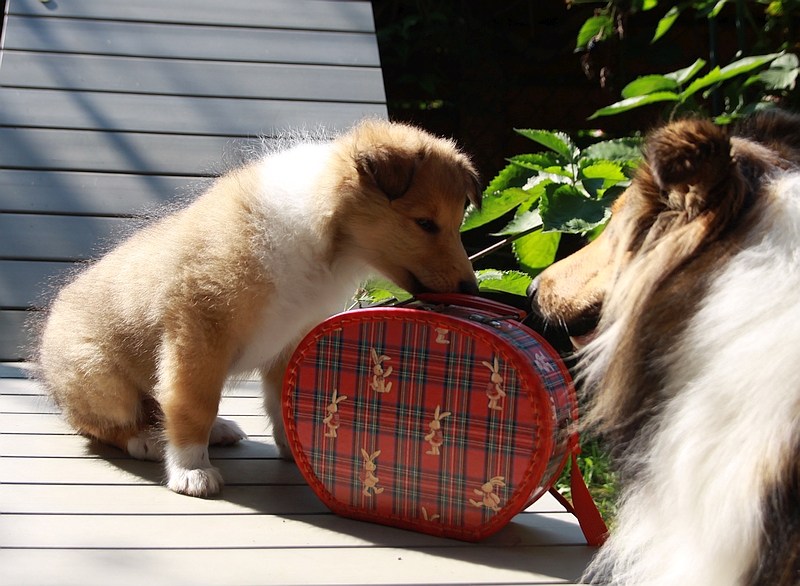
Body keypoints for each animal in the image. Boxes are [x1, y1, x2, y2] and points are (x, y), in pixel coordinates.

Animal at [37, 121, 482, 496]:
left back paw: (216, 429)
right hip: (99, 377)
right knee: (100, 422)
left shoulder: (292, 338)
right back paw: (145, 439)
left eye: (457, 219)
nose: (471, 288)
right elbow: (193, 403)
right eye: (424, 223)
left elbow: (284, 400)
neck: (323, 239)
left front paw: (301, 452)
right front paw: (191, 471)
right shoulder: (197, 331)